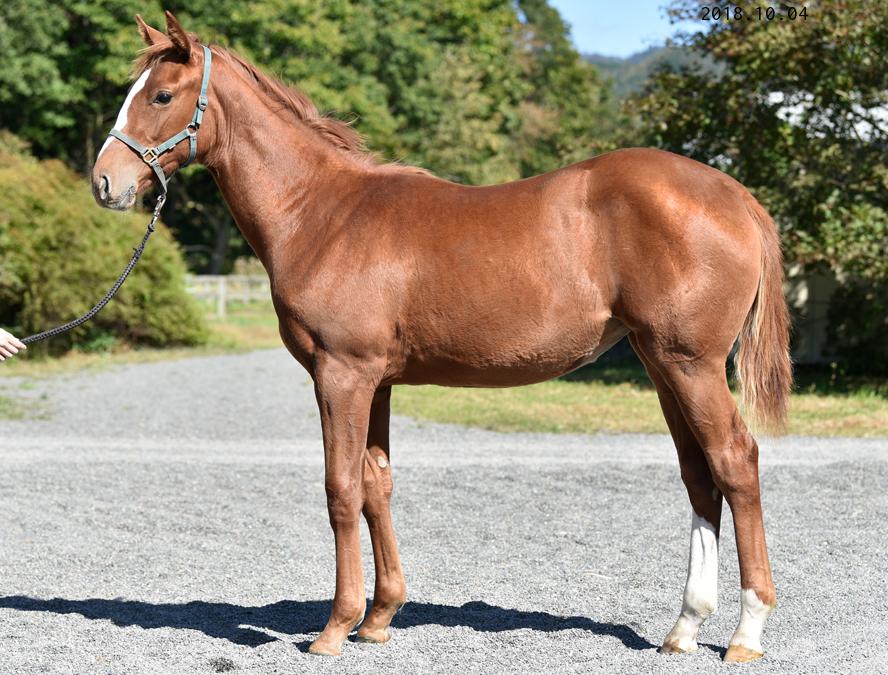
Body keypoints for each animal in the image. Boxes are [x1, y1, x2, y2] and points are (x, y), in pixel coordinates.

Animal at [91, 12, 791, 662]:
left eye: (161, 95)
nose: (105, 182)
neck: (320, 213)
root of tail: (733, 194)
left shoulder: (341, 374)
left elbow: (340, 489)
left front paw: (335, 627)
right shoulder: (375, 381)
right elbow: (376, 485)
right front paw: (378, 618)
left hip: (691, 364)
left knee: (735, 462)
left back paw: (746, 631)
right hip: (662, 364)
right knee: (700, 476)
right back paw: (684, 628)